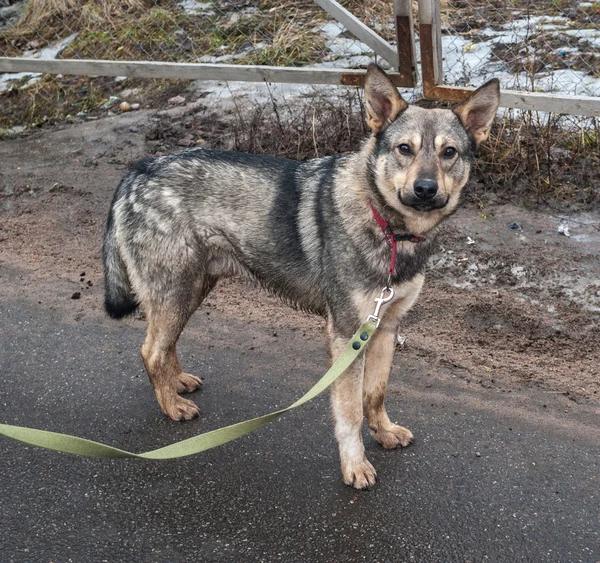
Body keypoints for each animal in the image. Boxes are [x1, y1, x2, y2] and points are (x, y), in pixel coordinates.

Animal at [104, 65, 502, 490]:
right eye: (404, 149)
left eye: (449, 152)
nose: (425, 189)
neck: (389, 229)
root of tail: (138, 170)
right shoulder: (348, 333)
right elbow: (350, 411)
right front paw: (354, 465)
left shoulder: (386, 326)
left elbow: (375, 394)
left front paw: (383, 431)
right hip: (177, 289)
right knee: (151, 351)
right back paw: (171, 405)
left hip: (192, 288)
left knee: (164, 346)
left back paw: (176, 381)